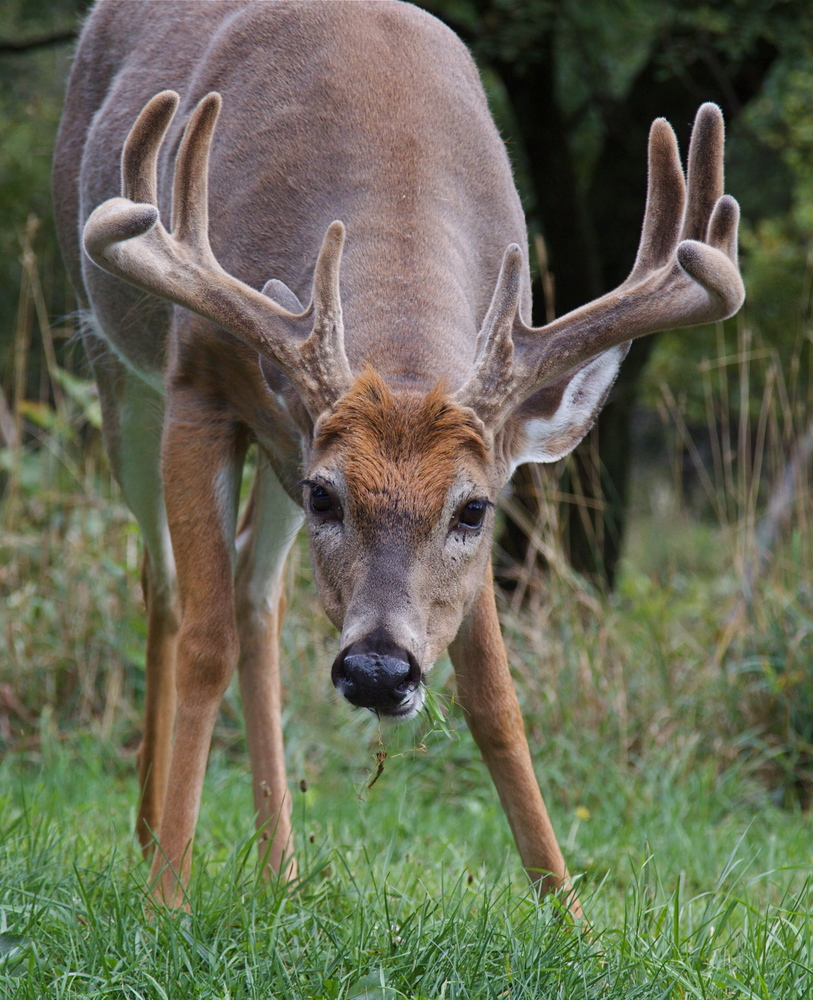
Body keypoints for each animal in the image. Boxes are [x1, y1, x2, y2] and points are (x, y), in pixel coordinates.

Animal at [53, 0, 744, 911]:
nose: (379, 671)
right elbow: (203, 644)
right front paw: (167, 897)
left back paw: (282, 866)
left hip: (275, 435)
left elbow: (494, 696)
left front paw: (566, 909)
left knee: (256, 594)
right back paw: (146, 835)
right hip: (118, 373)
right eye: (327, 495)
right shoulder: (196, 379)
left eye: (473, 509)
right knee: (166, 586)